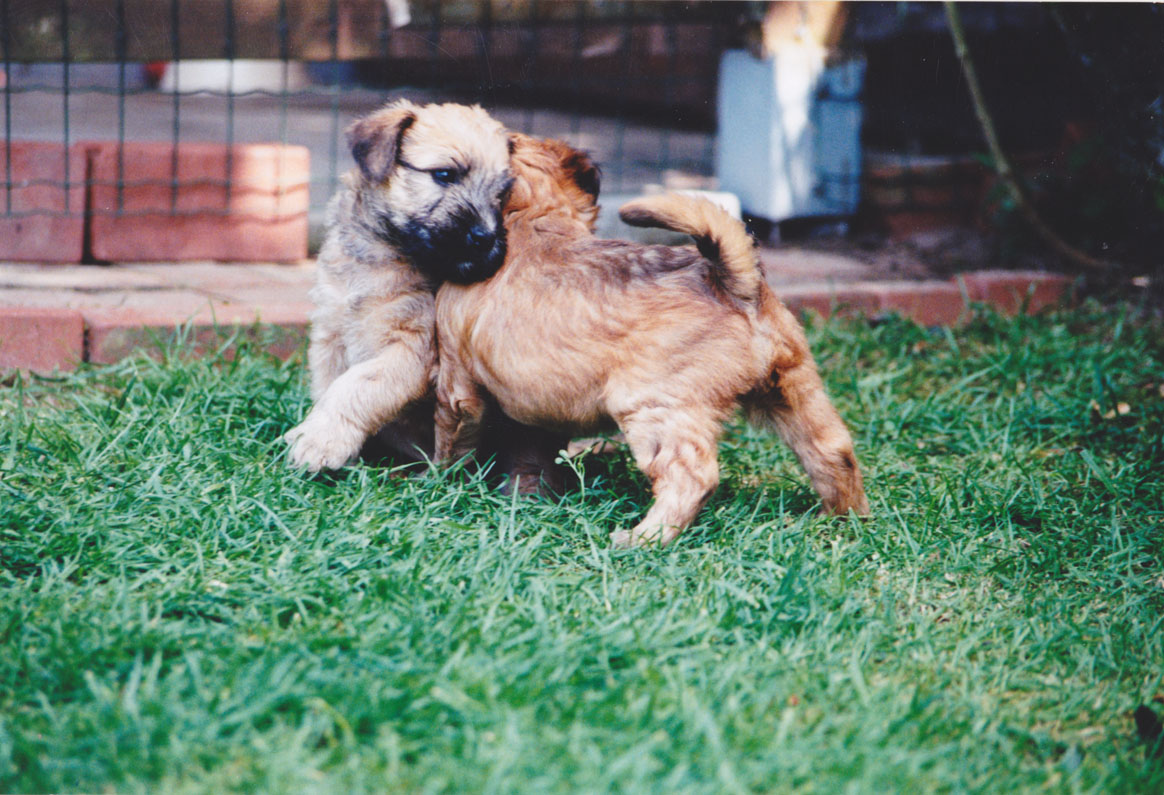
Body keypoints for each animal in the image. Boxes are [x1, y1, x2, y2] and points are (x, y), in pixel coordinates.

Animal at [284, 99, 512, 472]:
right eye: (444, 174)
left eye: (502, 195)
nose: (486, 237)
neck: (383, 253)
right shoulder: (331, 335)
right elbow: (329, 386)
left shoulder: (412, 349)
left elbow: (353, 387)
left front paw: (321, 441)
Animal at [433, 136, 870, 547]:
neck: (535, 219)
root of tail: (734, 286)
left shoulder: (456, 384)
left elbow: (453, 438)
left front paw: (441, 482)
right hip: (792, 387)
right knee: (832, 449)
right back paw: (840, 521)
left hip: (655, 407)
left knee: (691, 475)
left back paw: (644, 538)